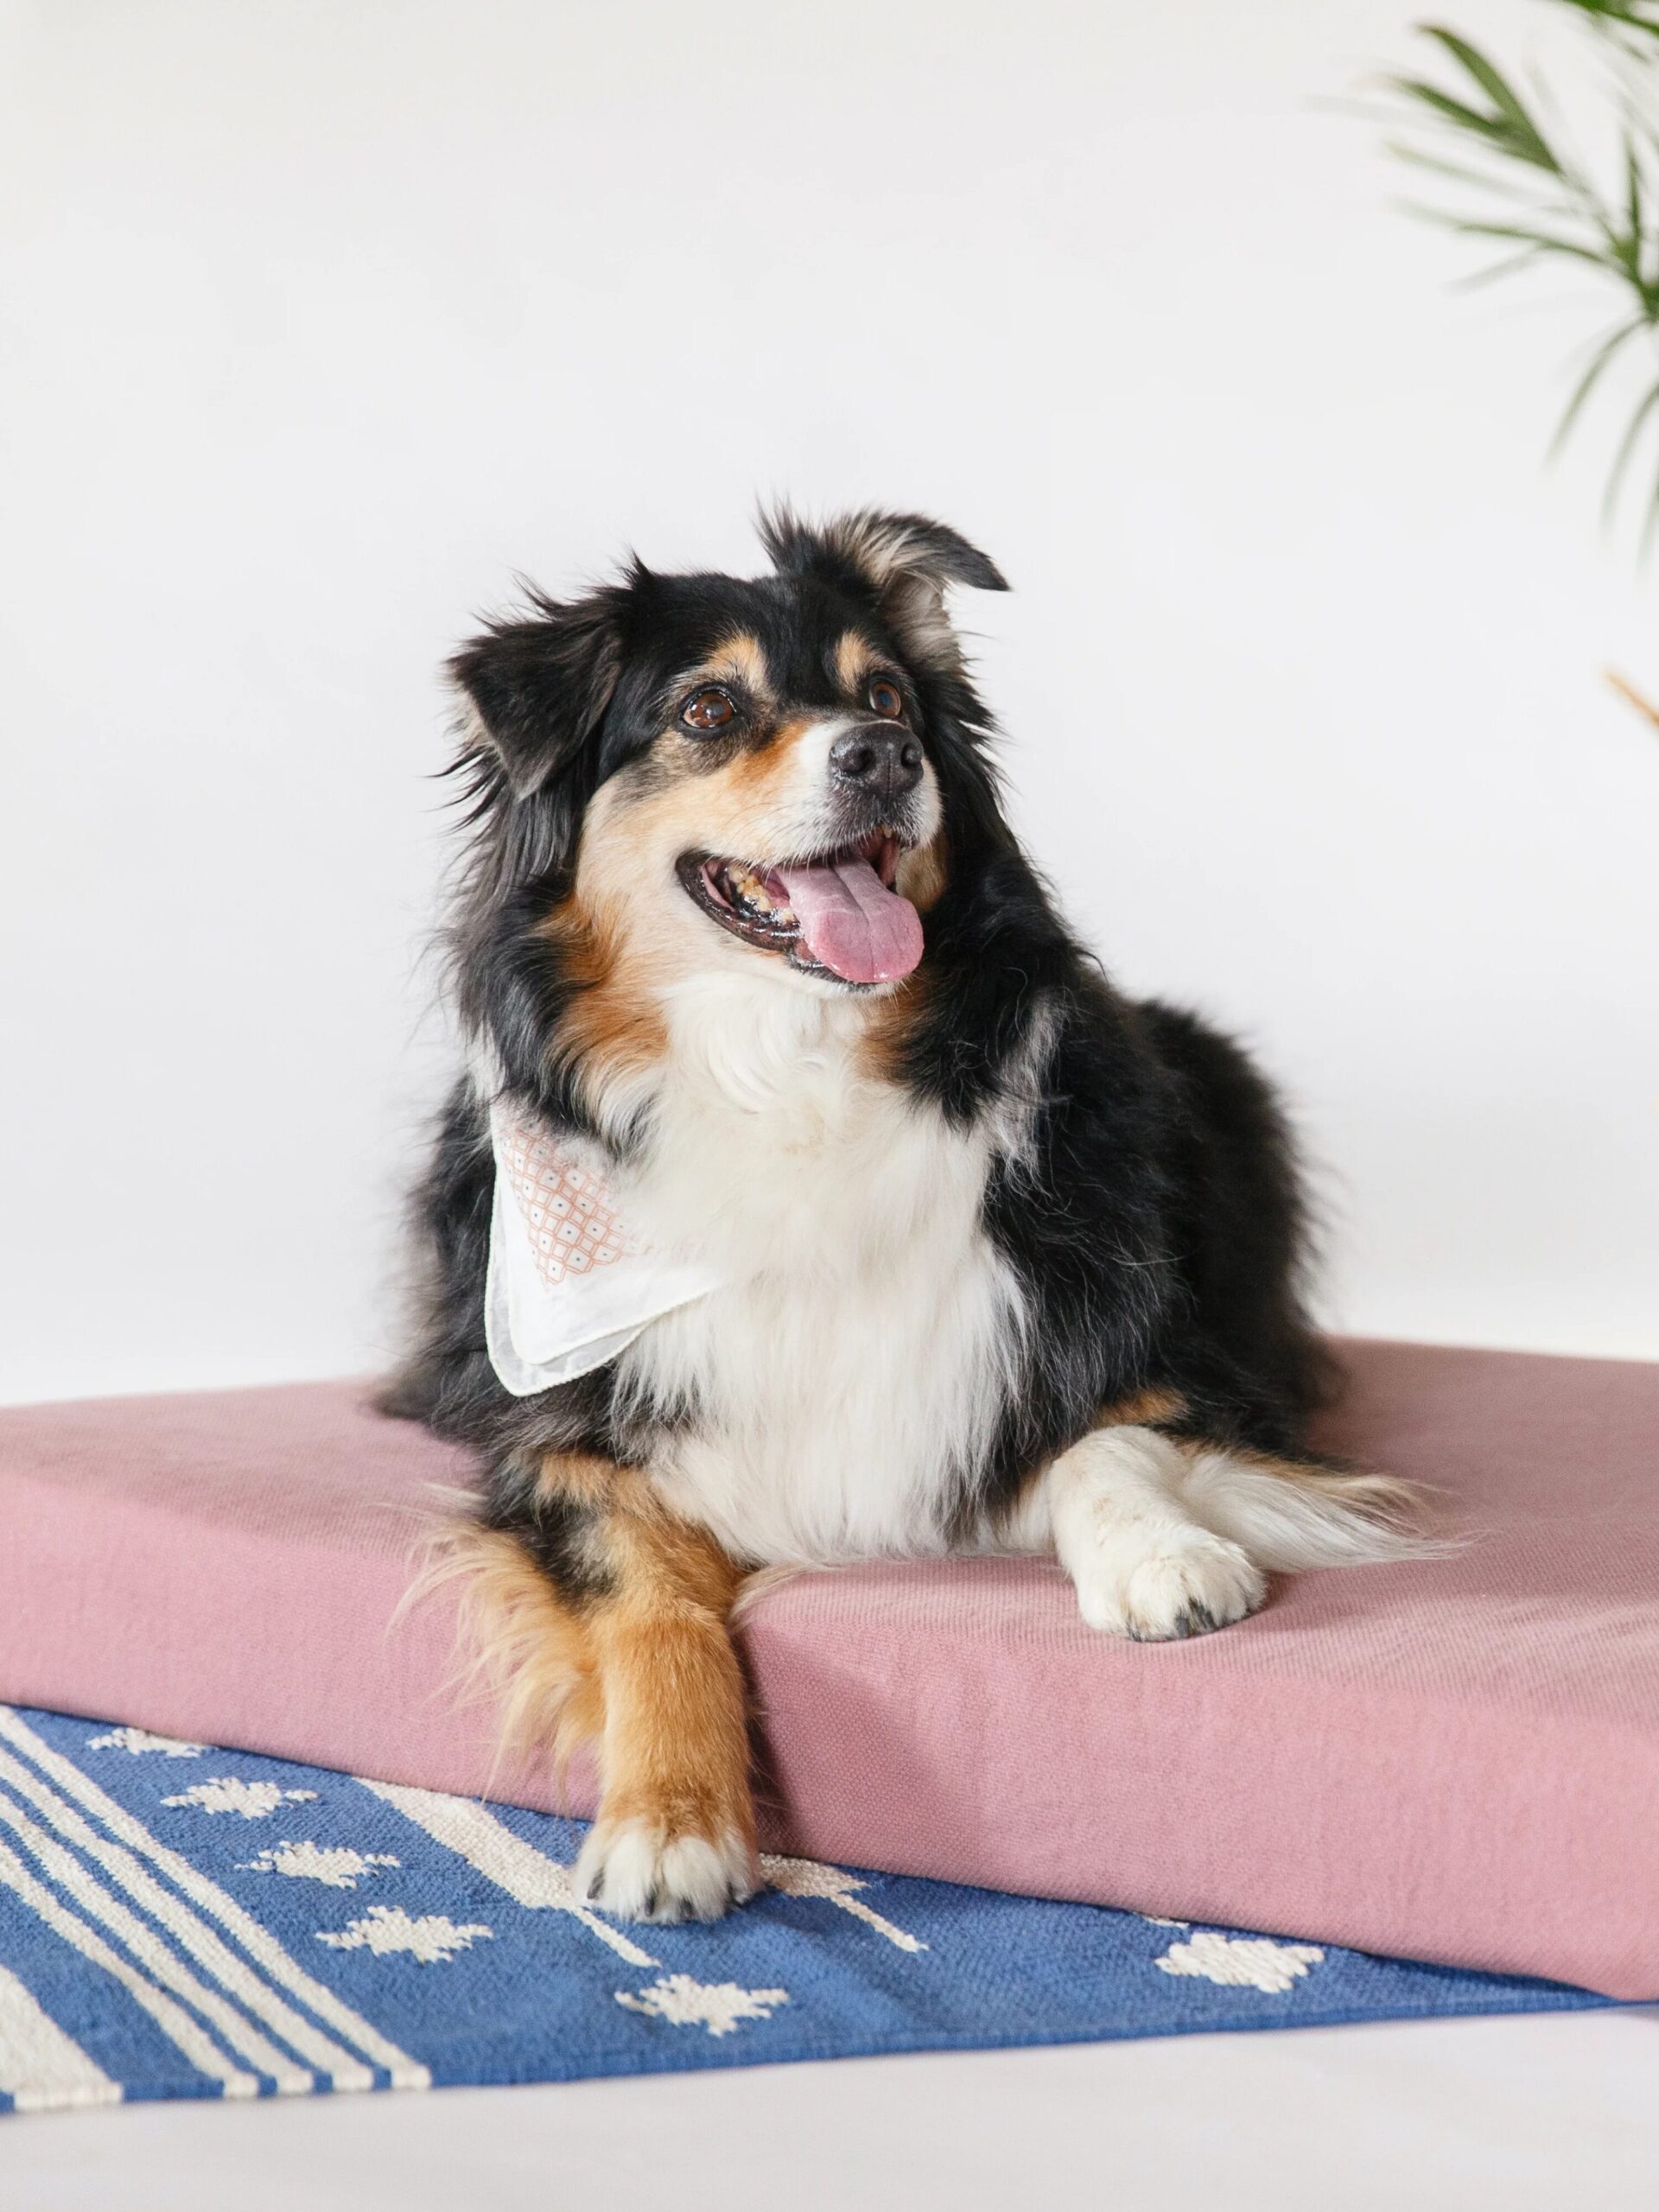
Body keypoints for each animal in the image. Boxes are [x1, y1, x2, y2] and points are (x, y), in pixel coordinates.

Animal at [380, 508, 1433, 1929]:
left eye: (883, 696)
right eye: (707, 709)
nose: (880, 757)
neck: (791, 1073)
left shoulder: (1163, 1360)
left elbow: (1106, 1445)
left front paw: (1166, 1560)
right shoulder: (552, 1446)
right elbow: (652, 1604)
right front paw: (670, 1819)